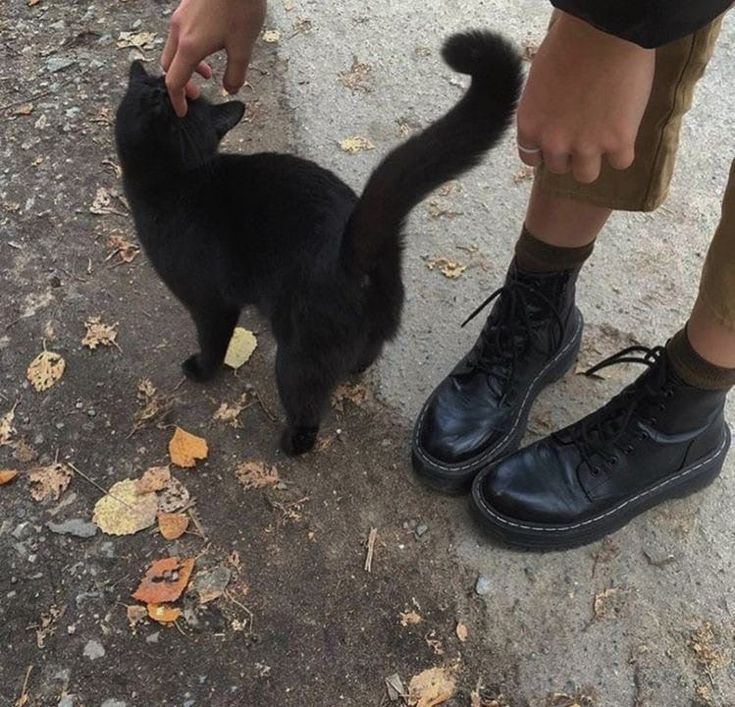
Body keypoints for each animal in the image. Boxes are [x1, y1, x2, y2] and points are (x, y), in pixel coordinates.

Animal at [115, 30, 524, 456]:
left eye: (187, 105)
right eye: (150, 86)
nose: (163, 91)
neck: (174, 181)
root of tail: (357, 250)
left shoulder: (211, 303)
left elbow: (214, 342)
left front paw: (200, 369)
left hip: (295, 358)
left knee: (307, 411)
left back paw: (290, 443)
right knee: (368, 350)